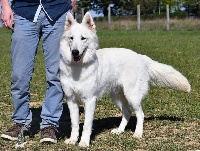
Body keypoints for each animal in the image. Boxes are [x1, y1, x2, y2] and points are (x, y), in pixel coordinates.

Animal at [59, 12, 191, 147]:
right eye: (71, 38)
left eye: (83, 38)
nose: (75, 52)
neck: (77, 68)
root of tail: (141, 57)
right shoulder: (71, 100)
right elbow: (74, 124)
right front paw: (73, 140)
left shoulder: (90, 100)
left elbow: (86, 125)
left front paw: (84, 142)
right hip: (117, 97)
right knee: (127, 113)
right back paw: (120, 130)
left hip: (132, 96)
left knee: (140, 114)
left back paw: (138, 133)